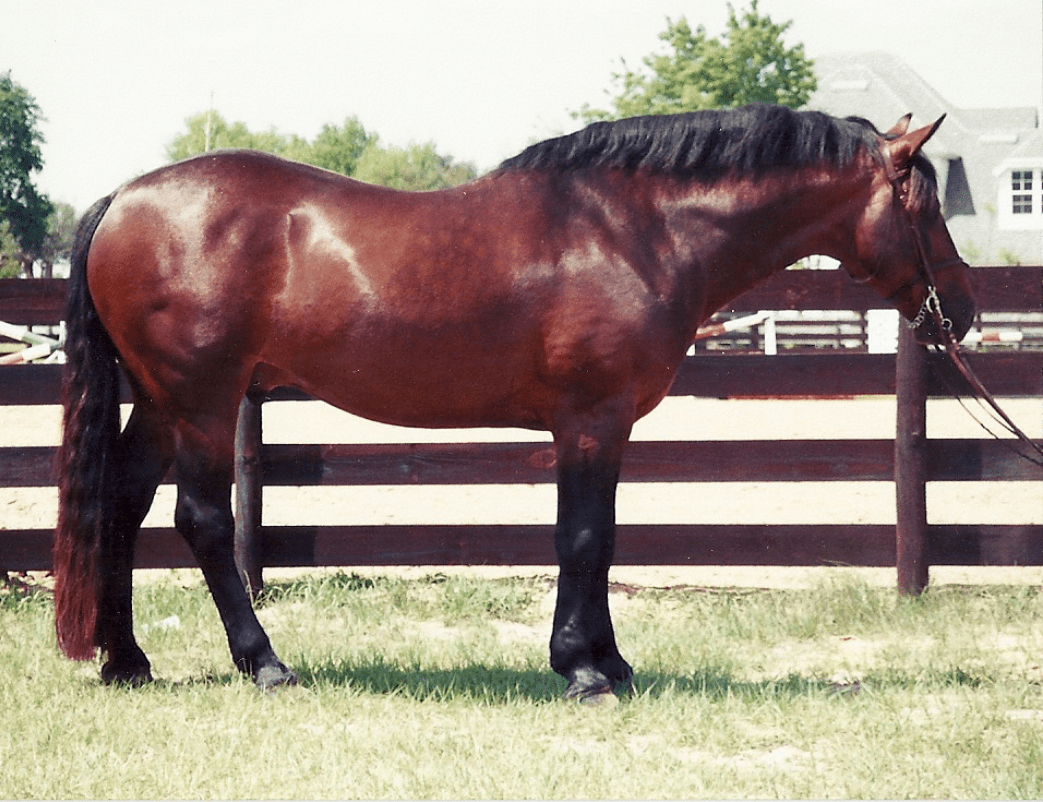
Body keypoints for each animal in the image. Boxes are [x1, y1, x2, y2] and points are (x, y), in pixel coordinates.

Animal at [53, 104, 975, 701]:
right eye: (924, 205)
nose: (960, 310)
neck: (633, 231)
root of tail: (124, 199)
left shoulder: (600, 426)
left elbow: (597, 538)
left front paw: (609, 662)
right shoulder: (590, 420)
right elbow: (584, 537)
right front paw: (585, 668)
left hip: (162, 402)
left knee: (121, 505)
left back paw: (126, 661)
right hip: (203, 400)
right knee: (202, 521)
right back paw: (266, 664)